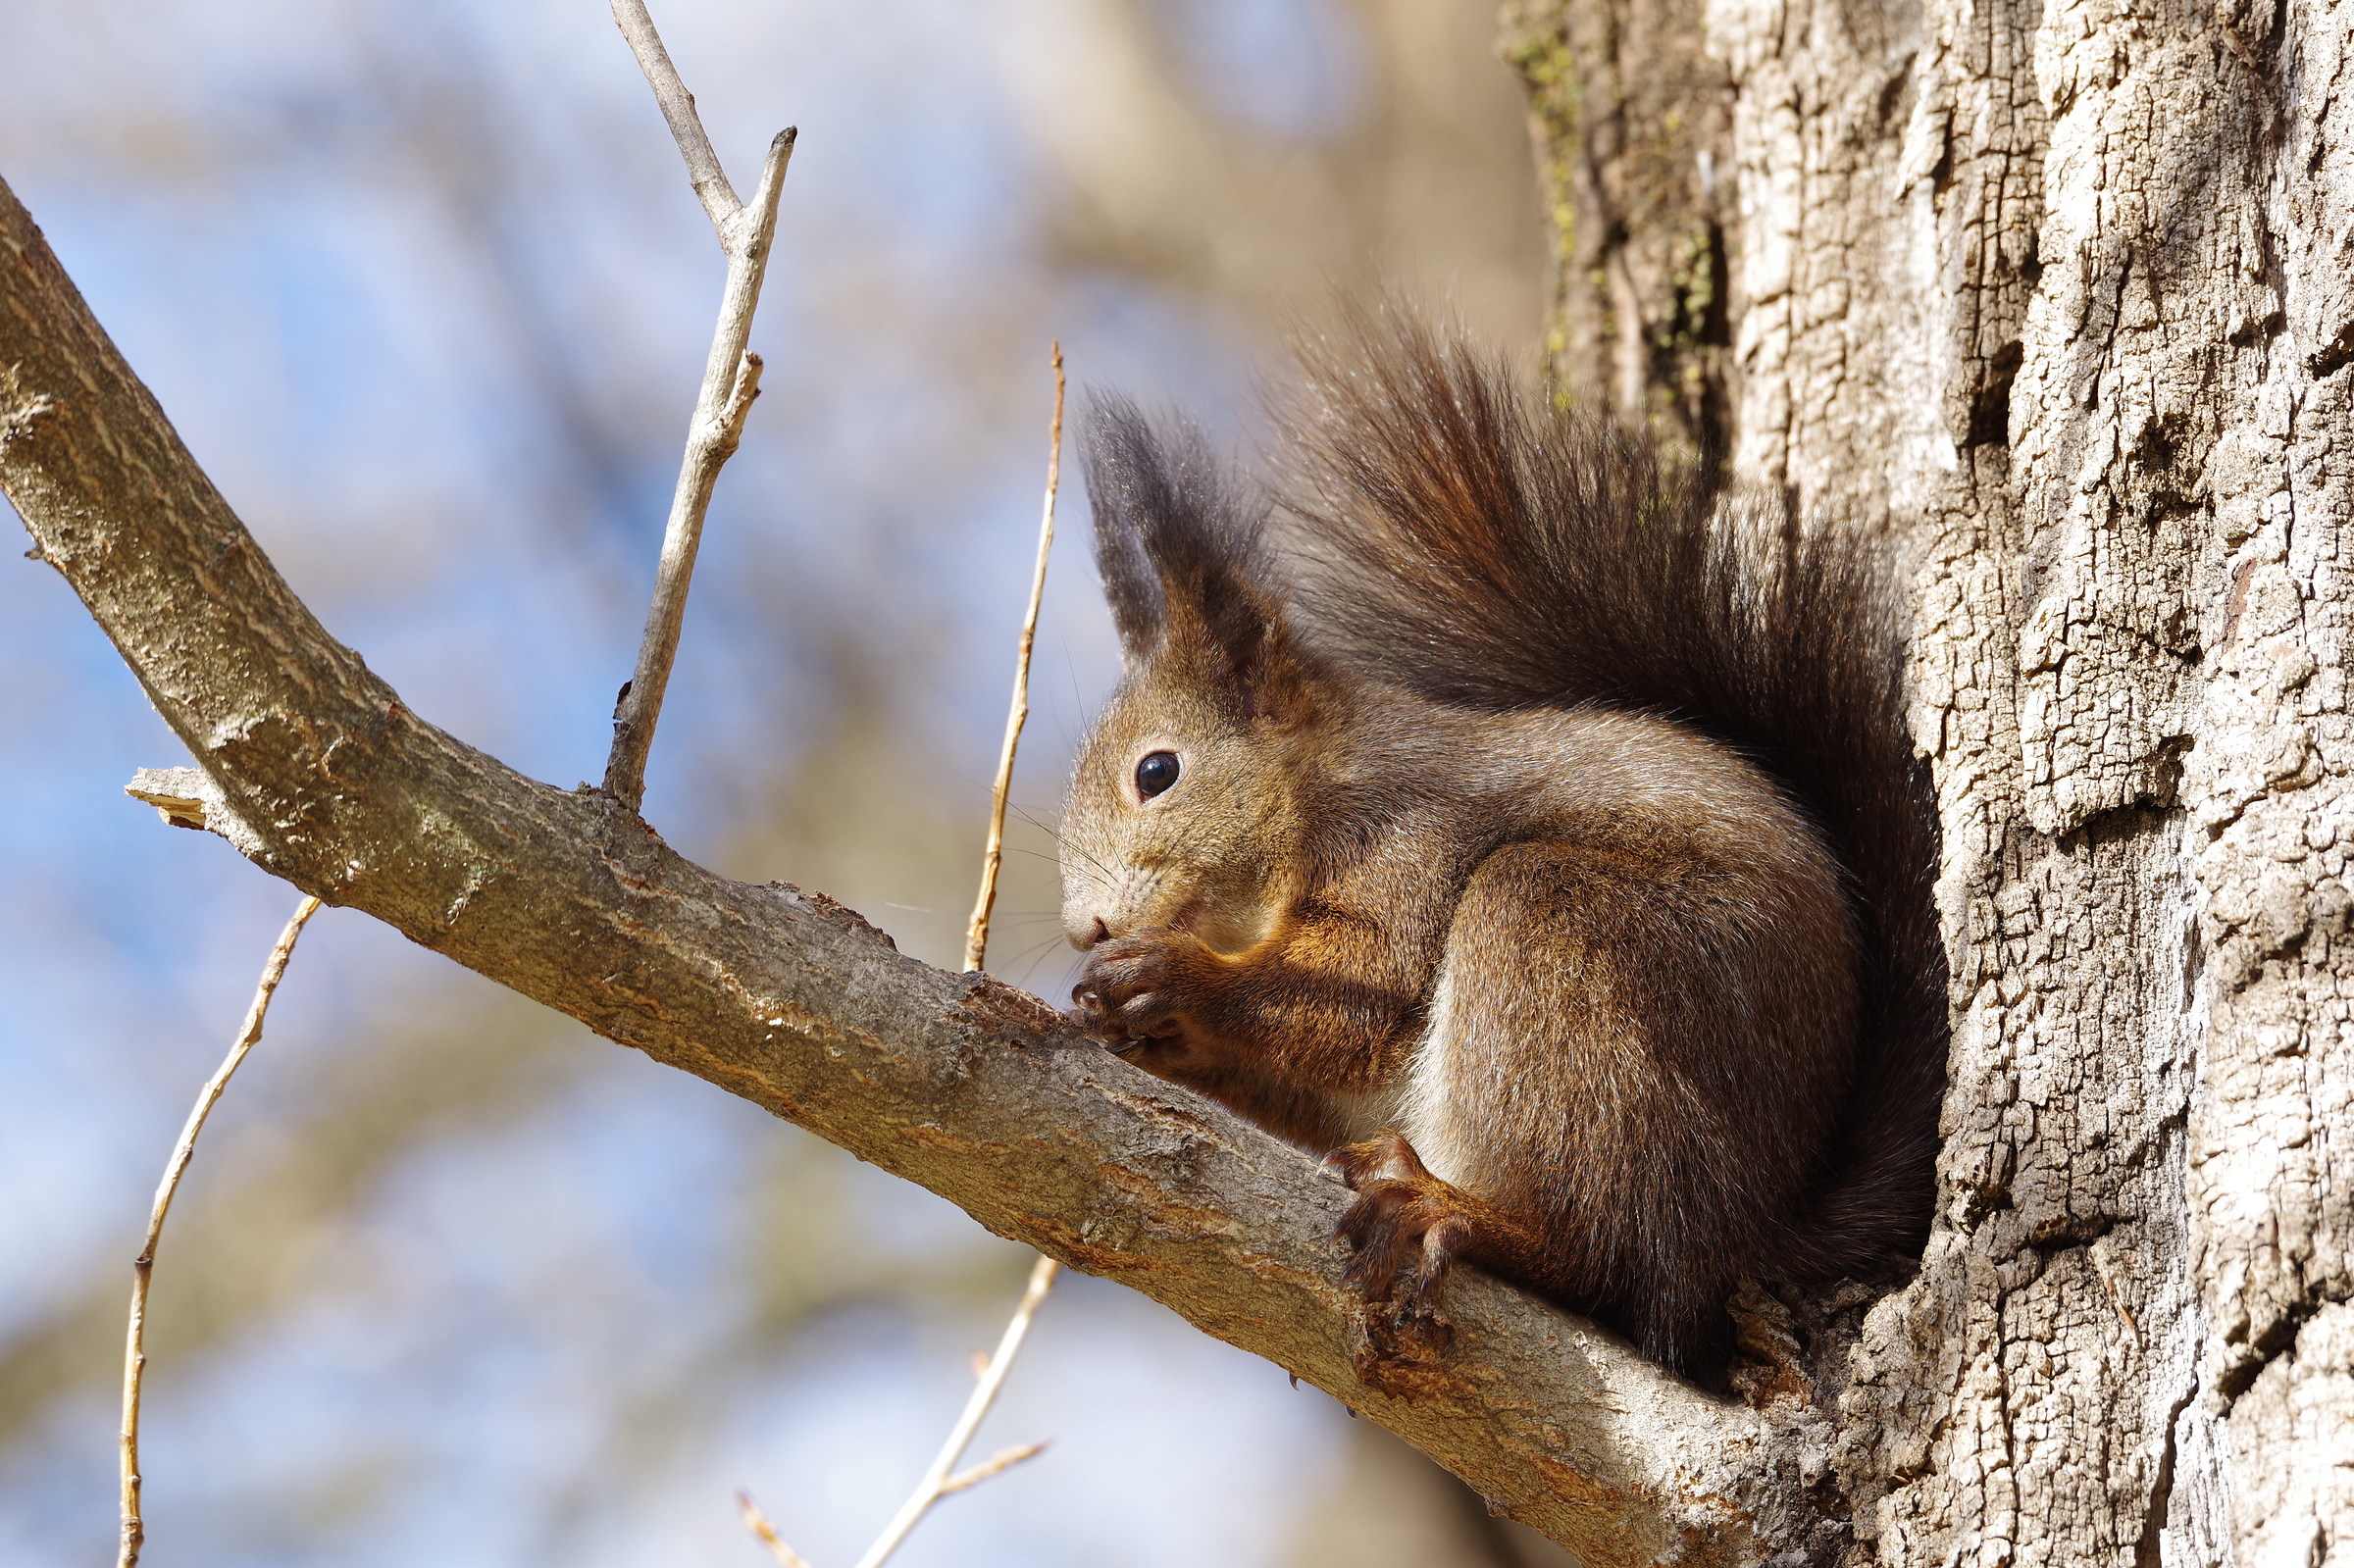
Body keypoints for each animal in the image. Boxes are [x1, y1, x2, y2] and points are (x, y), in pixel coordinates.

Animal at [1058, 314, 1946, 1380]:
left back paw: (1457, 1212)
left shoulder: (1409, 837)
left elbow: (1361, 994)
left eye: (1157, 772)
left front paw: (1171, 975)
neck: (1321, 790)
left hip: (1561, 941)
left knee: (1605, 1259)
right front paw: (1137, 1026)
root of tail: (1749, 1225)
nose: (1083, 925)